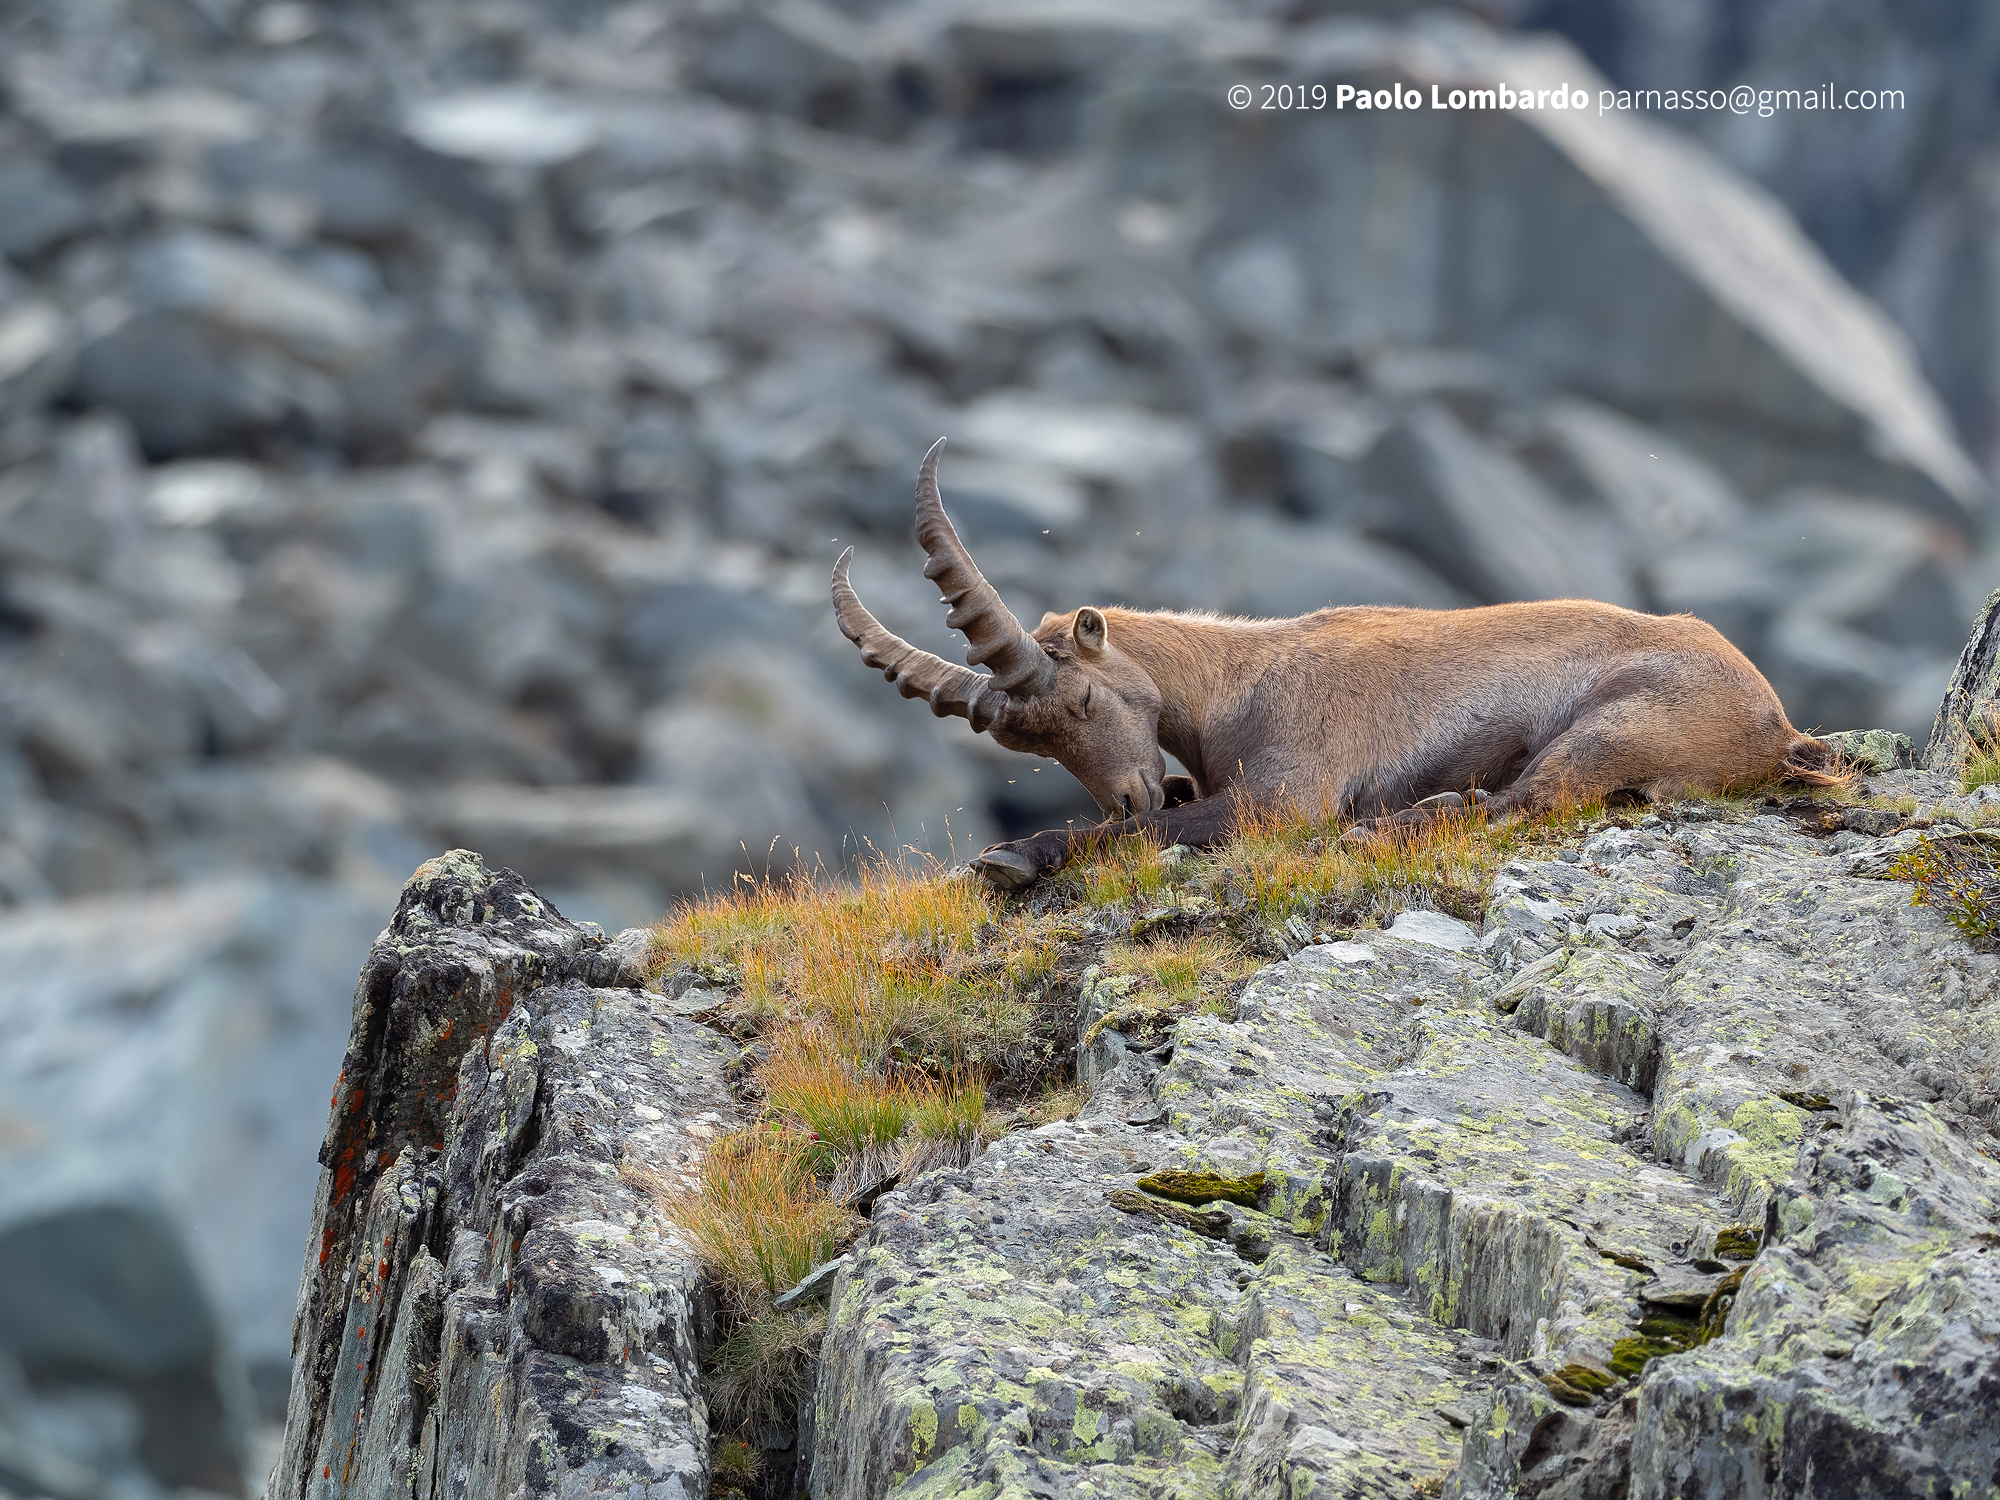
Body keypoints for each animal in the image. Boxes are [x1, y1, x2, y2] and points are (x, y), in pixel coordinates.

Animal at [832, 441, 1836, 890]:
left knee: (1519, 804)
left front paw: (1015, 854)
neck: (1236, 681)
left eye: (1079, 696)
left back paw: (1394, 824)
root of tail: (1777, 726)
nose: (1127, 793)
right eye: (1028, 745)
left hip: (1617, 724)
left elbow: (1165, 832)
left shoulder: (1285, 797)